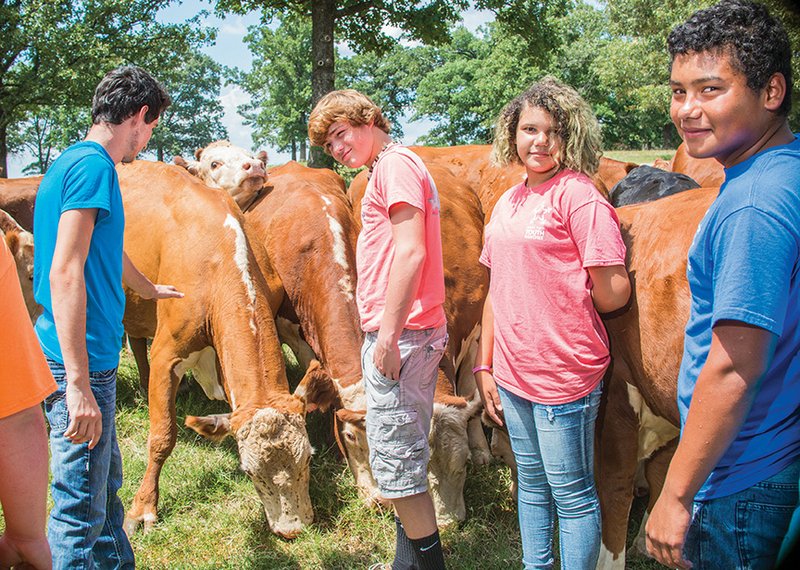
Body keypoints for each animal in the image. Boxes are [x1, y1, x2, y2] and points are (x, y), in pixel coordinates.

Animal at [114, 160, 332, 536]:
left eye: (308, 457)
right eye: (249, 471)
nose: (292, 528)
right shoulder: (167, 354)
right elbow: (162, 436)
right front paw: (143, 508)